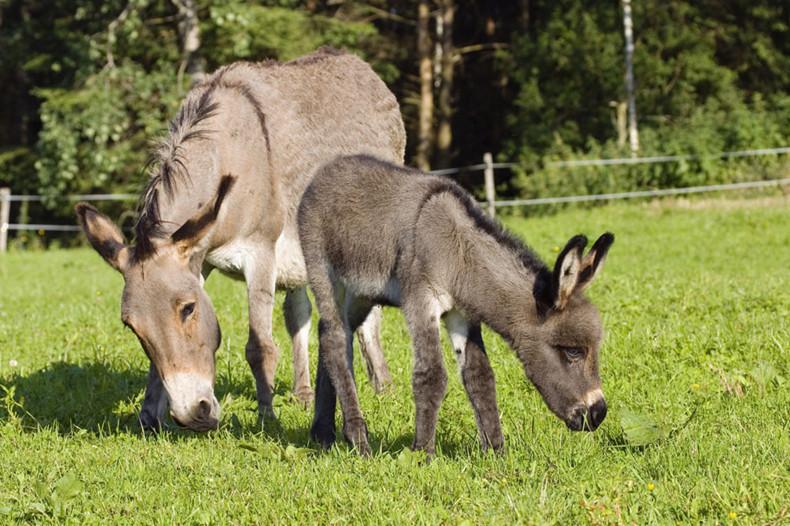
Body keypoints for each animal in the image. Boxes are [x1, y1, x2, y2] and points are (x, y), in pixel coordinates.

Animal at [300, 155, 616, 456]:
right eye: (573, 352)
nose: (598, 414)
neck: (459, 253)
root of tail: (327, 169)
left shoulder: (462, 313)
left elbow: (480, 376)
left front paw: (495, 451)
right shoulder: (421, 300)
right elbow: (431, 375)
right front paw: (422, 454)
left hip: (362, 295)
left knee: (330, 336)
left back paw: (323, 433)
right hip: (325, 275)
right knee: (335, 341)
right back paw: (358, 439)